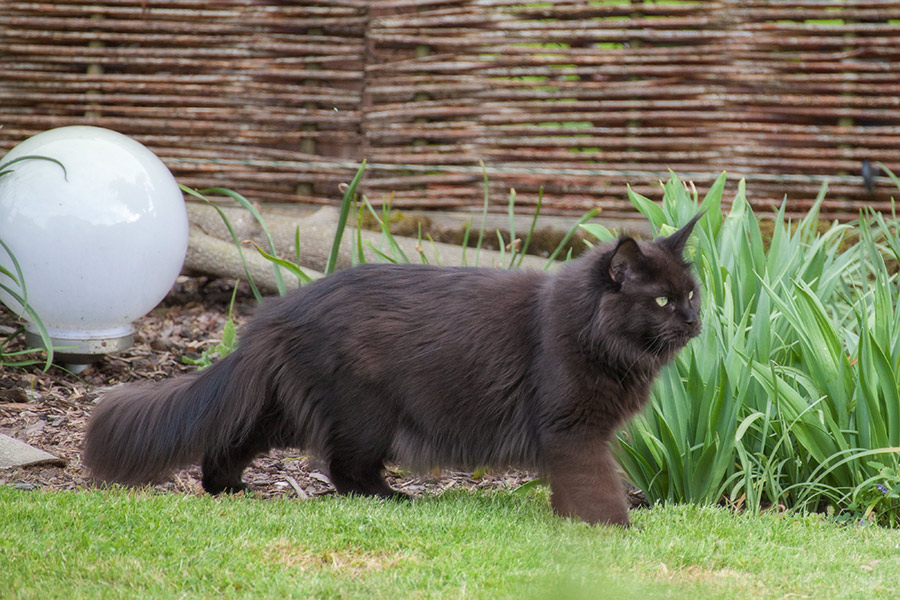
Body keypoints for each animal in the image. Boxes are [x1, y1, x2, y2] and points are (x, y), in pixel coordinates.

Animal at [83, 214, 702, 526]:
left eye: (691, 294)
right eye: (663, 302)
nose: (696, 321)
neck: (591, 331)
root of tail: (282, 311)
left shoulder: (575, 436)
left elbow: (577, 487)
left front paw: (574, 522)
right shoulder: (572, 430)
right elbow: (599, 485)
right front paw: (615, 530)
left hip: (296, 406)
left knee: (234, 440)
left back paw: (228, 489)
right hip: (364, 411)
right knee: (344, 470)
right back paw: (395, 499)